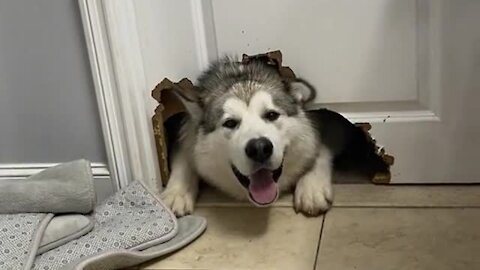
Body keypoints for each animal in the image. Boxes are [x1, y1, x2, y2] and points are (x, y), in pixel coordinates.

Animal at [161, 57, 334, 217]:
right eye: (230, 123)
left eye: (272, 115)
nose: (259, 148)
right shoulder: (186, 132)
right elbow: (183, 157)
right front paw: (176, 192)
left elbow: (320, 149)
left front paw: (311, 187)